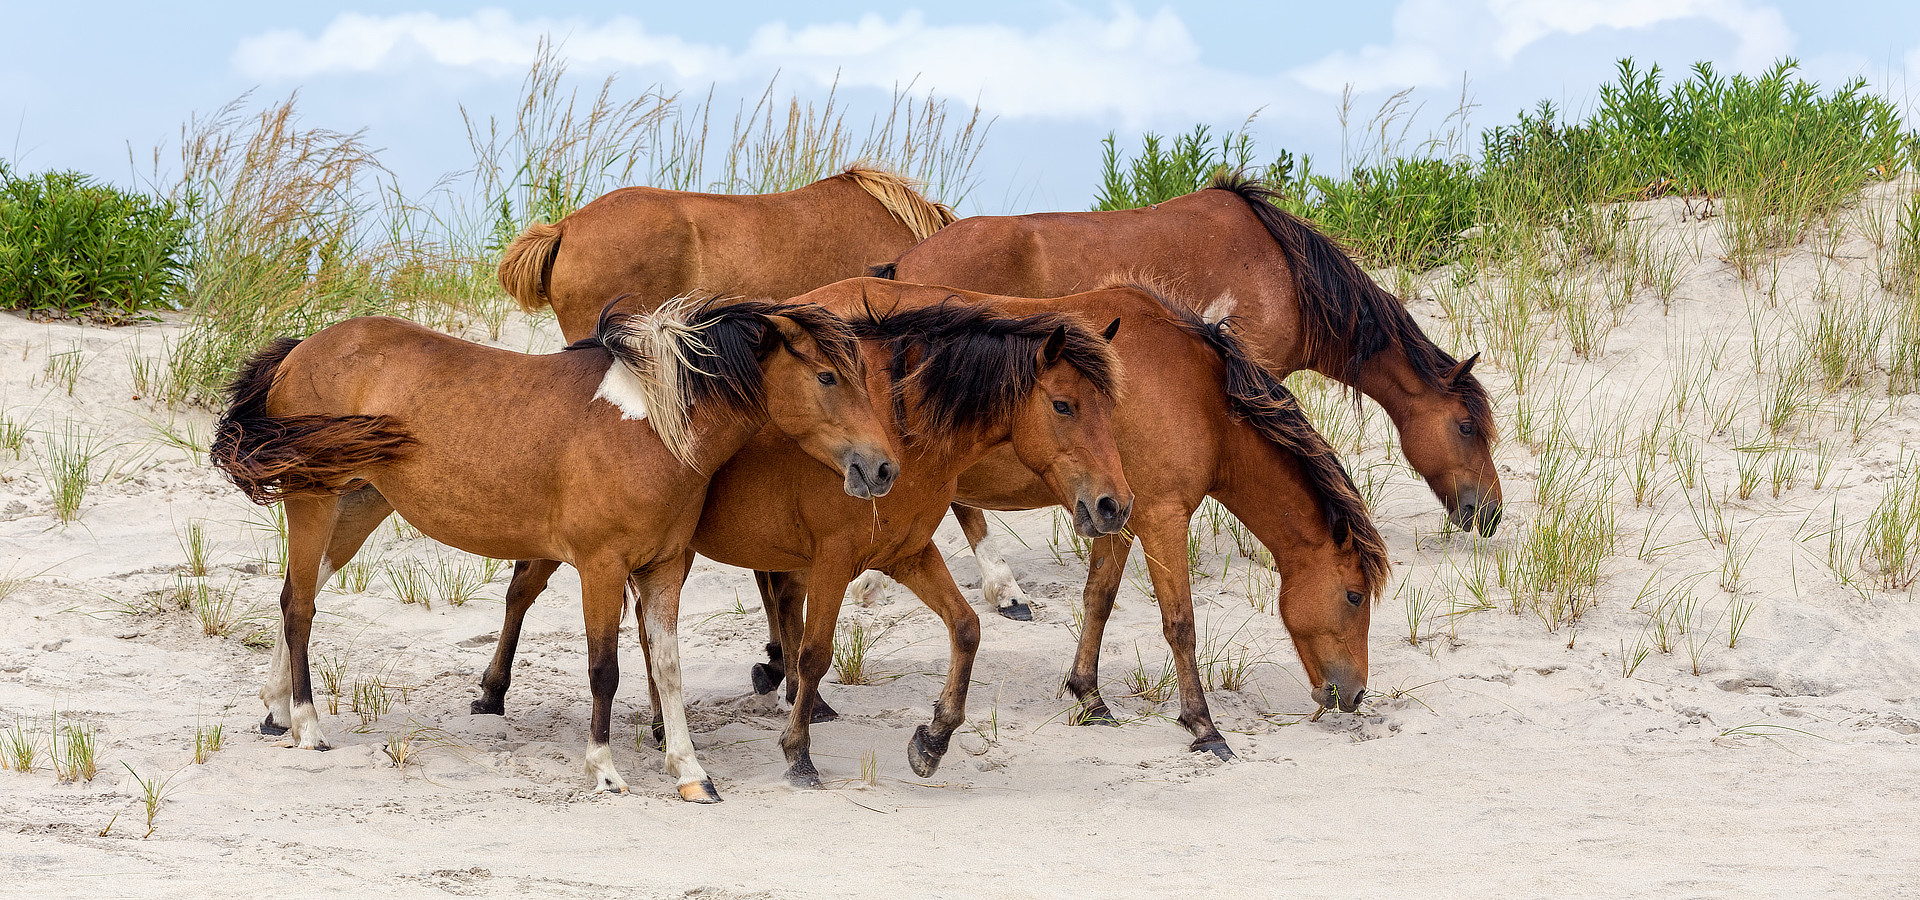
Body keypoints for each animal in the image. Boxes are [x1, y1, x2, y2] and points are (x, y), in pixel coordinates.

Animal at [210, 298, 894, 802]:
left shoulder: (665, 568)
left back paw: (274, 711)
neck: (650, 426)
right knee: (301, 608)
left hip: (358, 504)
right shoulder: (601, 567)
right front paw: (605, 769)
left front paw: (691, 773)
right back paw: (307, 726)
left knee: (294, 595)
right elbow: (605, 670)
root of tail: (301, 349)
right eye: (827, 377)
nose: (881, 468)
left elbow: (668, 669)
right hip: (314, 499)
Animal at [478, 278, 1132, 787]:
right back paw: (492, 691)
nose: (1113, 506)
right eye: (1064, 405)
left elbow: (966, 629)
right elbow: (816, 651)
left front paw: (933, 739)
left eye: (1111, 409)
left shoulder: (908, 553)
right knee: (523, 590)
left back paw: (670, 724)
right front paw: (799, 752)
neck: (902, 428)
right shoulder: (834, 560)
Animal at [756, 281, 1391, 759]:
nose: (1354, 694)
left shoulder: (1120, 514)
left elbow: (1099, 600)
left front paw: (1089, 695)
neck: (1197, 392)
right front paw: (1204, 727)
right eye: (1355, 596)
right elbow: (1180, 623)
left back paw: (787, 679)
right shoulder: (1161, 517)